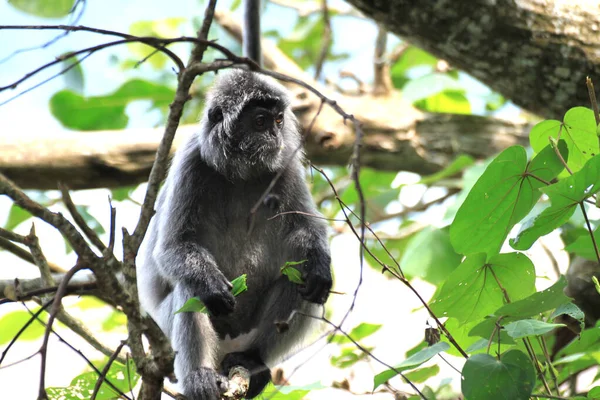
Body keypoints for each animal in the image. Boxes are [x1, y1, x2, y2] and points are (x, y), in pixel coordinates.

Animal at [137, 69, 332, 400]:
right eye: (260, 122)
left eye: (278, 120)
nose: (275, 136)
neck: (241, 173)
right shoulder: (191, 162)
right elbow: (174, 246)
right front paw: (210, 284)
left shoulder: (285, 165)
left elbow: (306, 231)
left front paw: (320, 264)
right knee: (192, 288)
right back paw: (199, 376)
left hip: (247, 333)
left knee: (299, 277)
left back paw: (251, 360)